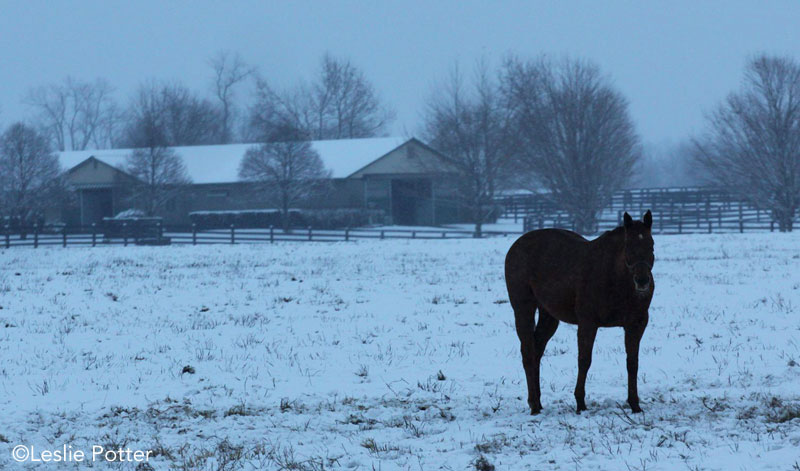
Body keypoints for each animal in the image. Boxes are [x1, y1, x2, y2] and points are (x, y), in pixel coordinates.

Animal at [506, 212, 656, 414]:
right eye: (628, 246)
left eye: (651, 245)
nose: (642, 281)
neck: (614, 277)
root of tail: (515, 246)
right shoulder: (588, 323)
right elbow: (584, 361)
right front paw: (580, 403)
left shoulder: (636, 325)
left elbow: (632, 363)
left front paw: (635, 404)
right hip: (524, 308)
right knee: (528, 353)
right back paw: (535, 406)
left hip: (548, 315)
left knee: (537, 351)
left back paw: (537, 401)